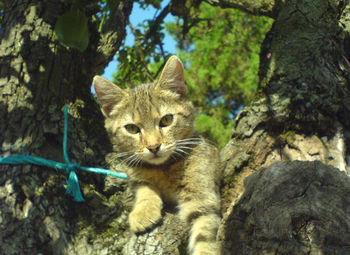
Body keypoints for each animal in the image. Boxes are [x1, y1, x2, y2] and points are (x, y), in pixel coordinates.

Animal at [91, 55, 220, 255]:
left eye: (166, 120)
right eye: (132, 128)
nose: (153, 147)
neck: (164, 168)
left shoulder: (202, 199)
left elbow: (205, 237)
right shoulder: (136, 175)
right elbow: (145, 188)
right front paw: (143, 211)